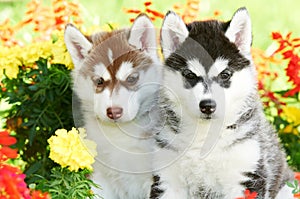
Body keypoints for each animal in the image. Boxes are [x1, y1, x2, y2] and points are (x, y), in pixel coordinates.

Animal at [151, 7, 294, 197]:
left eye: (225, 74)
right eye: (190, 75)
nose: (208, 106)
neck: (206, 138)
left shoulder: (245, 176)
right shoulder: (168, 178)